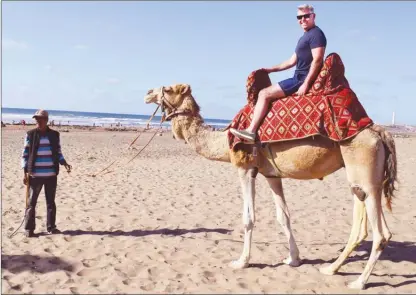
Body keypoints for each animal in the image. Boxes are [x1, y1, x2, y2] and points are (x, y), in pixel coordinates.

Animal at [145, 84, 398, 292]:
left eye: (167, 89)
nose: (148, 93)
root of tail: (380, 133)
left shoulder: (245, 168)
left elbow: (248, 217)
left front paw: (241, 261)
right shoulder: (272, 174)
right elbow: (283, 216)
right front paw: (293, 259)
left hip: (366, 175)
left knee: (381, 233)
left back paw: (359, 282)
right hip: (358, 180)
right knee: (361, 224)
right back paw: (330, 269)